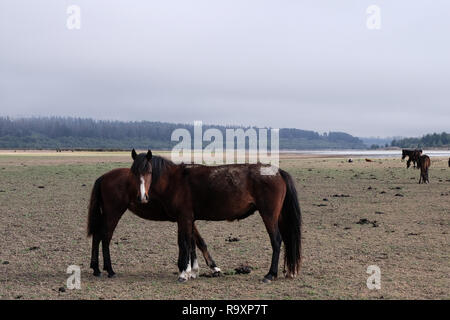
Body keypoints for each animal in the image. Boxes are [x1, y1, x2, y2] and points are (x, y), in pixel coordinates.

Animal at [86, 150, 220, 278]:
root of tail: (103, 177)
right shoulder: (185, 218)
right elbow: (195, 242)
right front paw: (210, 267)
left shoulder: (187, 219)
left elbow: (195, 242)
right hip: (113, 213)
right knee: (105, 237)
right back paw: (110, 270)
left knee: (97, 236)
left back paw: (96, 269)